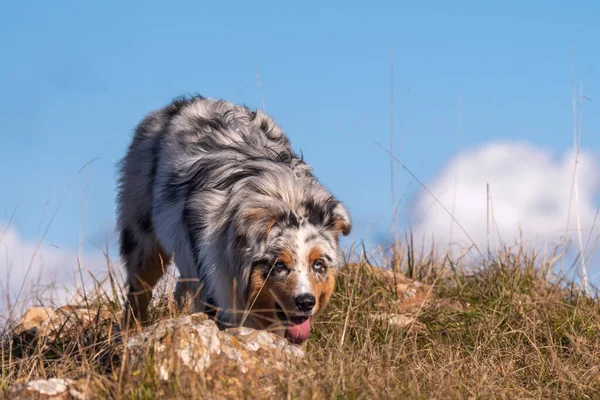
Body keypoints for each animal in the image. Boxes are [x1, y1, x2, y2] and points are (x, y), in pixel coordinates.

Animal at [116, 94, 352, 344]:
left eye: (318, 264)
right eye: (279, 265)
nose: (305, 302)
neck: (287, 199)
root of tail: (185, 102)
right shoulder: (217, 289)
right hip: (142, 242)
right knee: (137, 297)